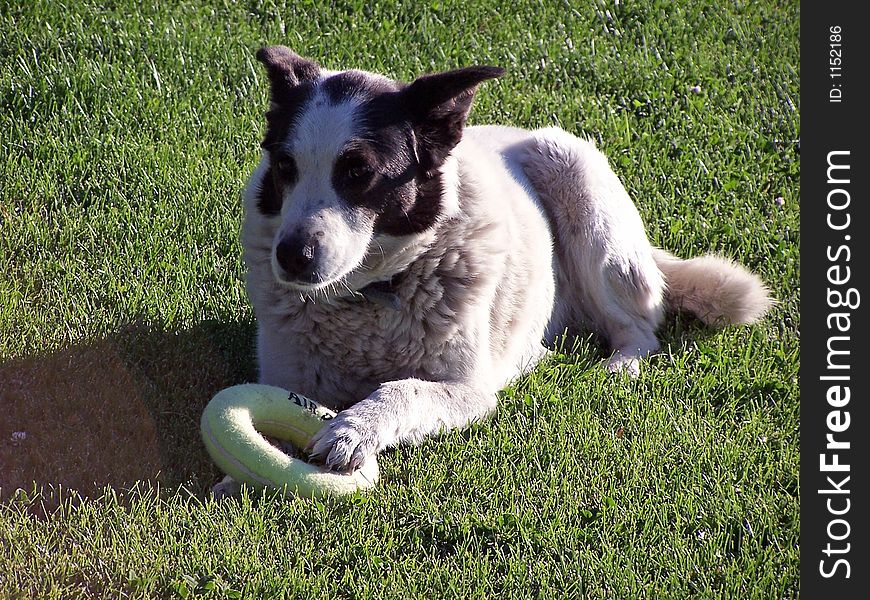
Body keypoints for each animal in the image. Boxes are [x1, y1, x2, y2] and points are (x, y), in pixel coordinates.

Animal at [237, 47, 768, 476]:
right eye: (284, 166)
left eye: (358, 172)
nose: (291, 256)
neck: (374, 293)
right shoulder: (284, 379)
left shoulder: (470, 390)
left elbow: (403, 390)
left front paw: (353, 430)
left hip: (583, 199)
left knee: (640, 328)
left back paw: (617, 368)